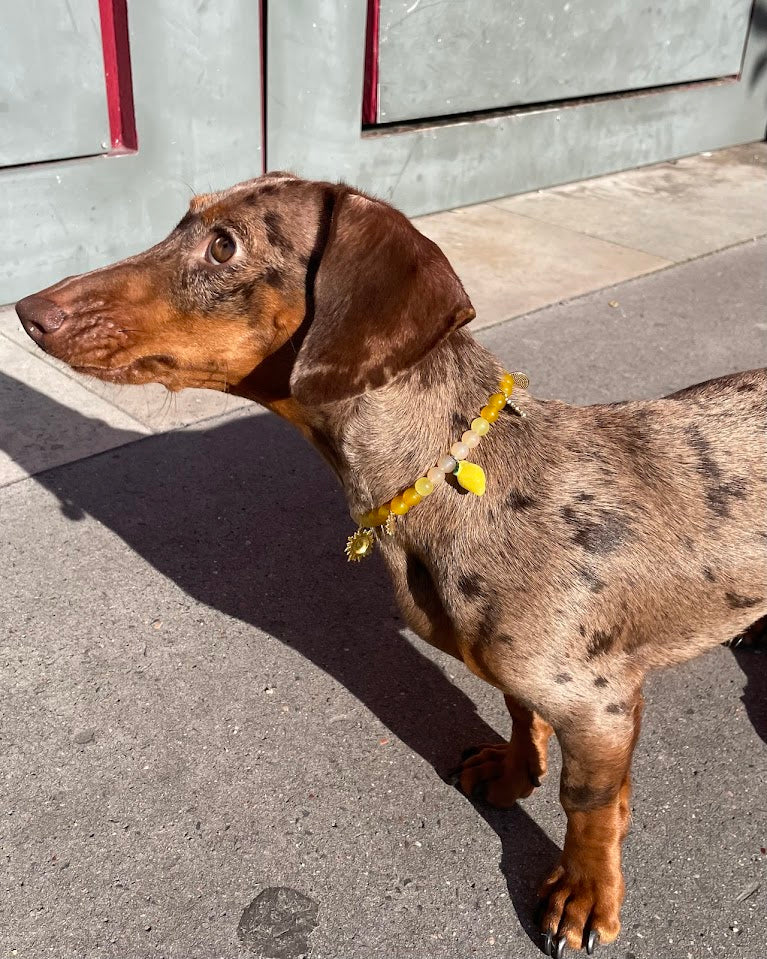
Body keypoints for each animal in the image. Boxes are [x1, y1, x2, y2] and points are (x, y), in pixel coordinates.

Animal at [15, 174, 764, 959]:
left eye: (224, 247)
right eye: (183, 220)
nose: (28, 312)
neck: (456, 479)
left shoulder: (599, 705)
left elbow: (587, 805)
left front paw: (585, 893)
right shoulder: (530, 682)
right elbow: (516, 711)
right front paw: (513, 772)